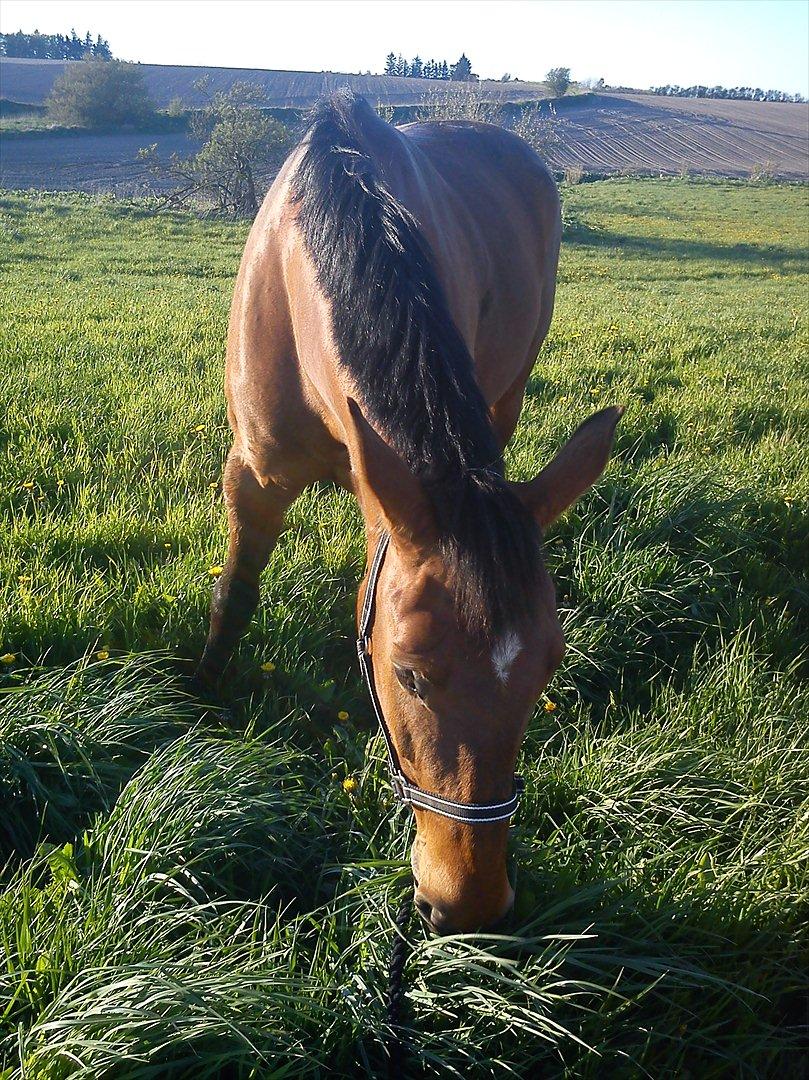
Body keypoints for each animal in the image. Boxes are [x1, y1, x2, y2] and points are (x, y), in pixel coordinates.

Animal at [198, 92, 622, 933]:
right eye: (409, 676)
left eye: (547, 671)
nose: (470, 902)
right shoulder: (252, 476)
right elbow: (234, 597)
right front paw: (196, 701)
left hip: (507, 394)